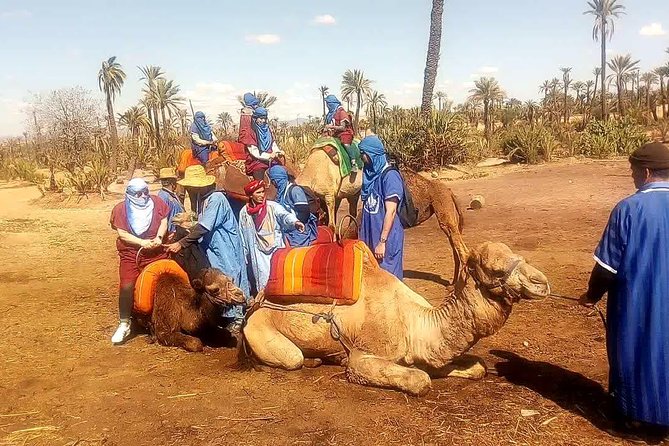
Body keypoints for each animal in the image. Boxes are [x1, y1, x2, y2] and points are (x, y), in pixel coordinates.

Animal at [241, 237, 550, 395]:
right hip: (261, 331)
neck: (415, 321)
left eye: (518, 254)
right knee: (292, 359)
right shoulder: (363, 356)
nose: (542, 282)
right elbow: (420, 381)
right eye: (495, 270)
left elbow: (477, 367)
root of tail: (255, 303)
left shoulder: (425, 352)